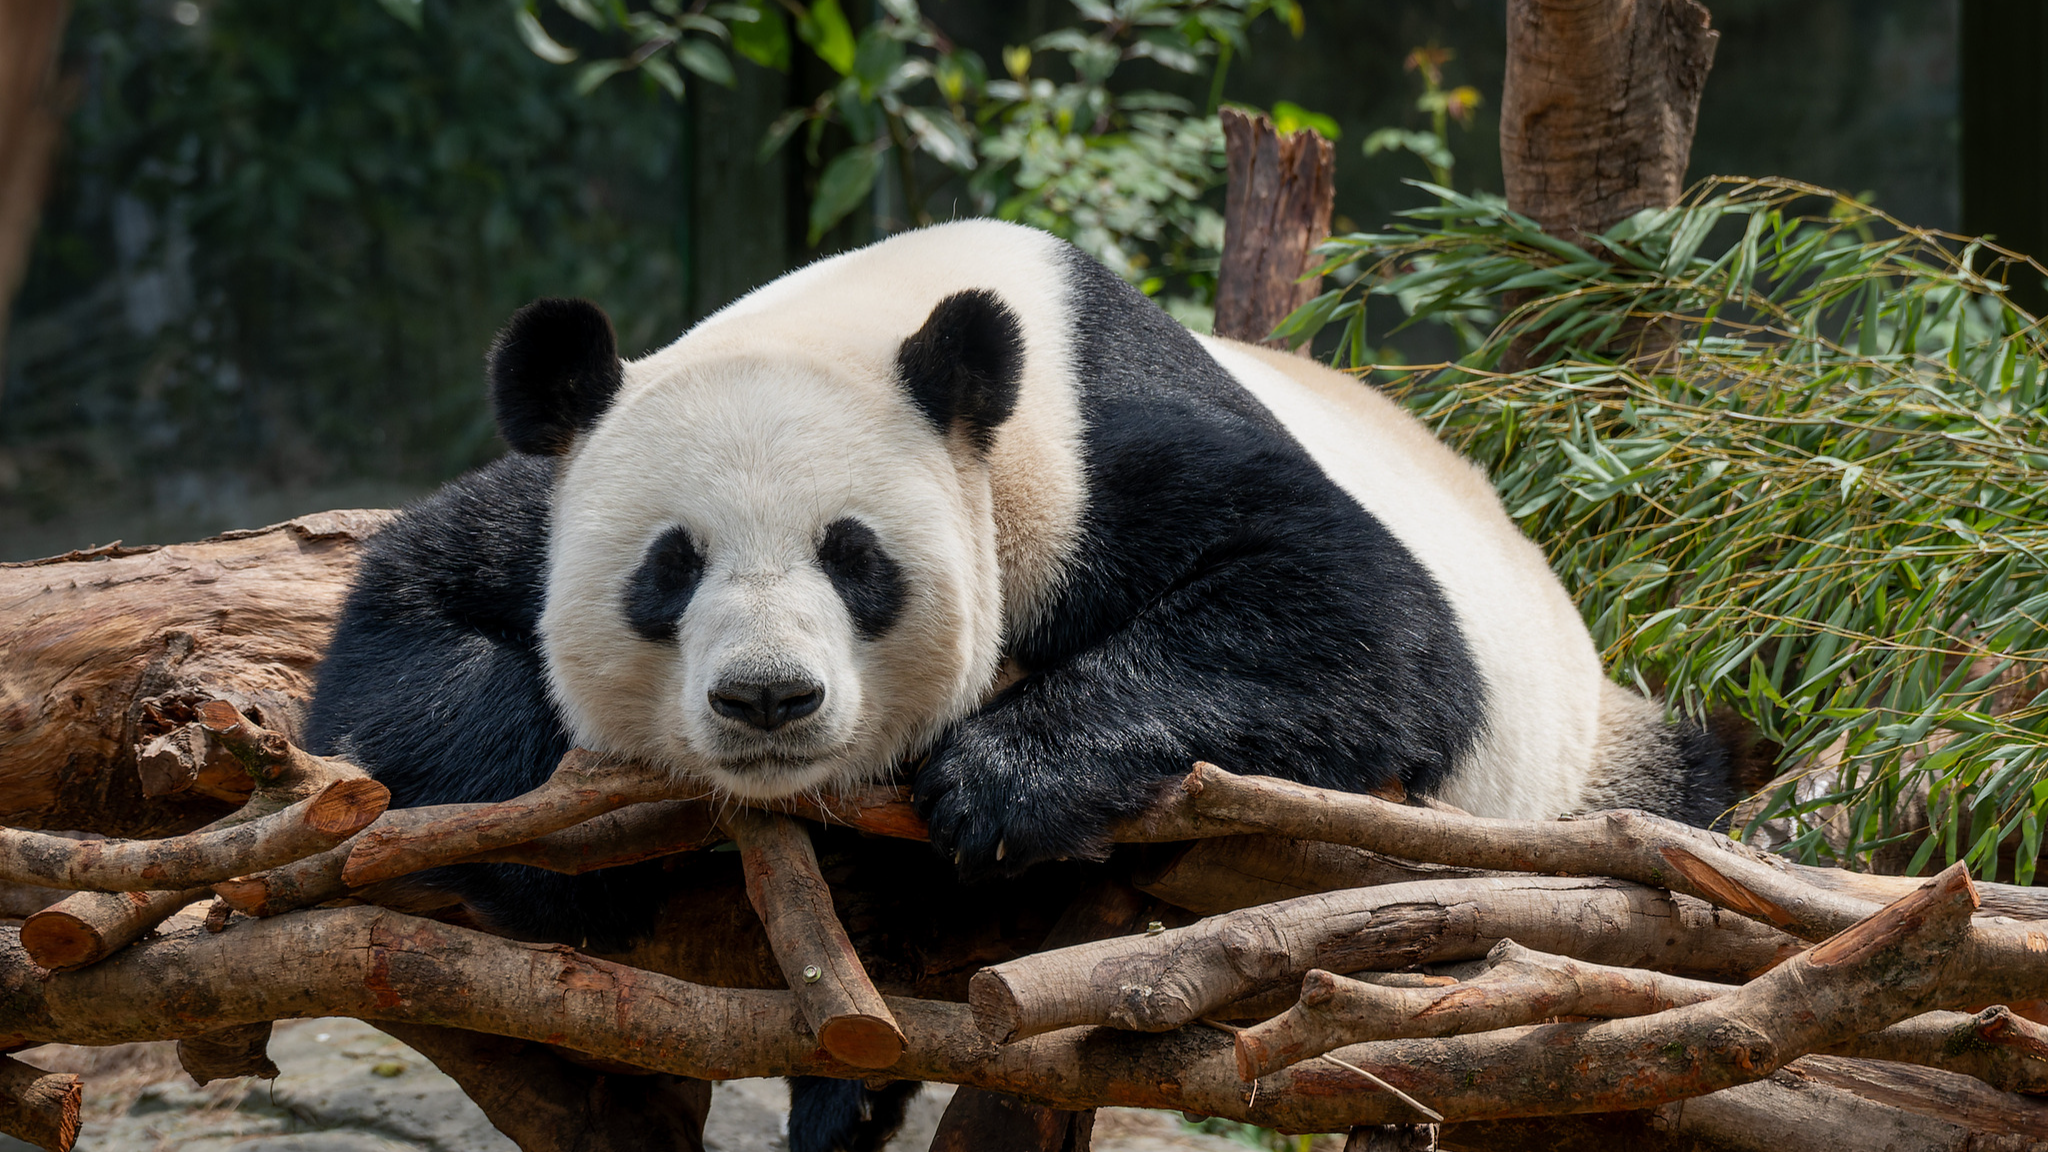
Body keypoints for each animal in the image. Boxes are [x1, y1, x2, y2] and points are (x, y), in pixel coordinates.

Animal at [307, 218, 1729, 1151]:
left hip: (1585, 753)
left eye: (854, 558)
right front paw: (569, 842)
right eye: (670, 567)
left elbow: (1361, 621)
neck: (876, 321)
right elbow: (392, 653)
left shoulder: (1087, 455)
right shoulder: (539, 505)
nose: (767, 700)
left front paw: (998, 785)